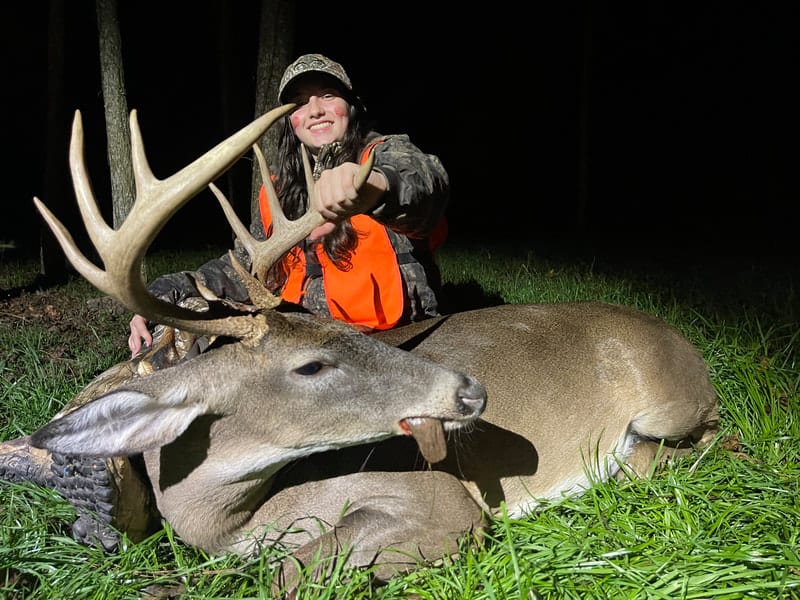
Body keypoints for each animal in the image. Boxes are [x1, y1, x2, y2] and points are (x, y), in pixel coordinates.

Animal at [15, 102, 719, 596]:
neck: (233, 522)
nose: (470, 390)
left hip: (670, 406)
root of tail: (686, 345)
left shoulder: (439, 498)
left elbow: (289, 572)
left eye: (354, 336)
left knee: (699, 442)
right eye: (311, 364)